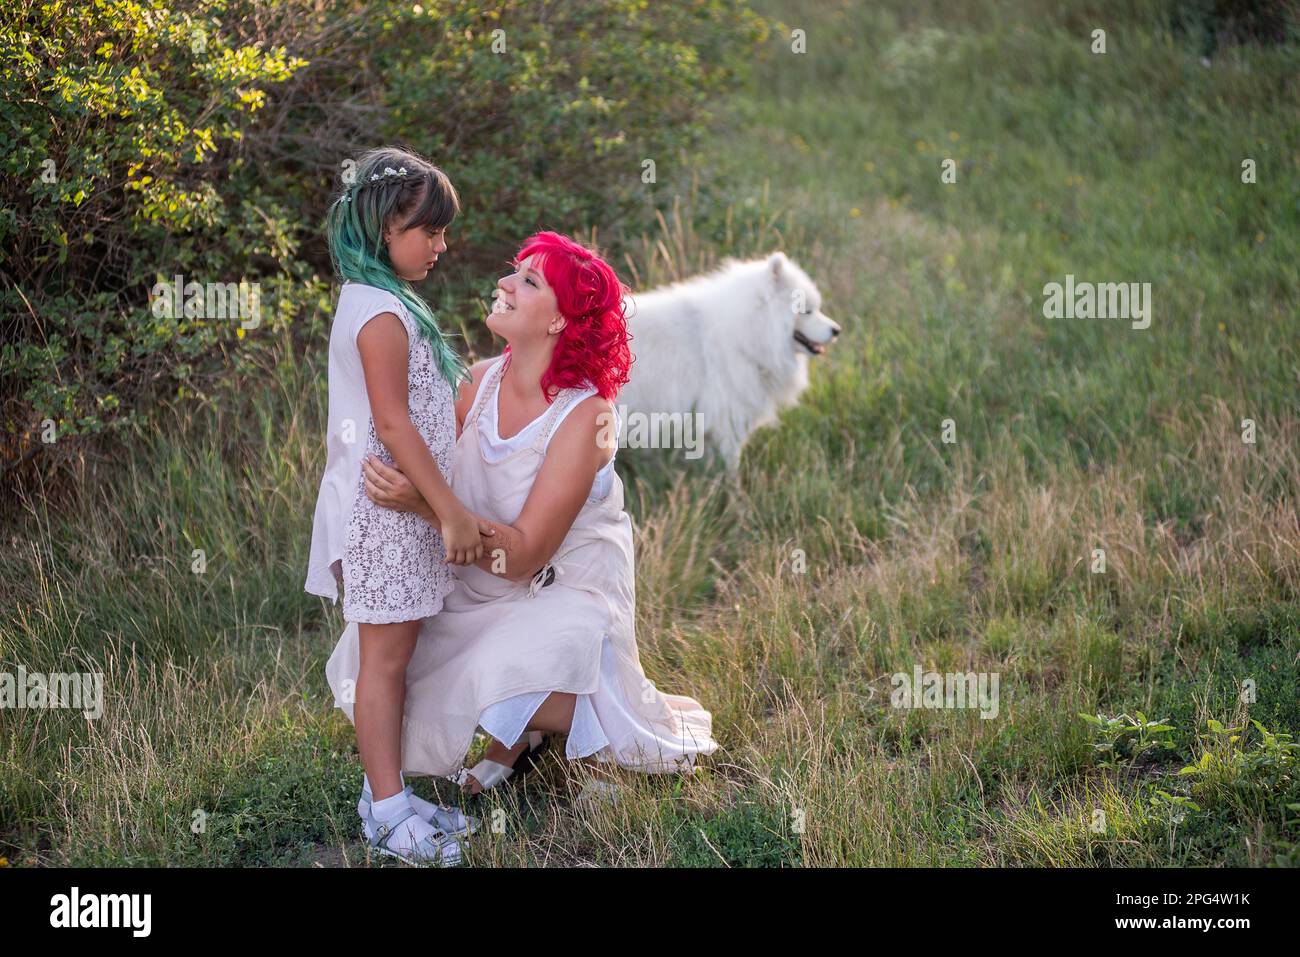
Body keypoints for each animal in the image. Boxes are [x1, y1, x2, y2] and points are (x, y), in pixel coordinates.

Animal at [618, 252, 842, 473]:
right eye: (807, 311)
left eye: (817, 309)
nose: (837, 330)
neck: (744, 333)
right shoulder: (728, 421)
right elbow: (731, 465)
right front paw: (734, 484)